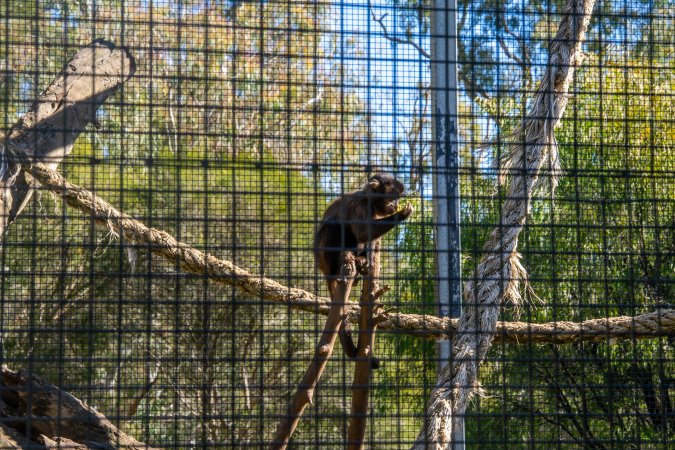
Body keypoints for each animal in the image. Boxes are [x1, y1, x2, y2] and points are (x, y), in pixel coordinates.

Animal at [314, 173, 413, 368]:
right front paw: (401, 214)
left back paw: (360, 260)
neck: (370, 201)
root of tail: (324, 269)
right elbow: (361, 231)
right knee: (334, 227)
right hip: (325, 255)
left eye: (398, 197)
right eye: (392, 197)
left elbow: (369, 239)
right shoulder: (360, 205)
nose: (395, 204)